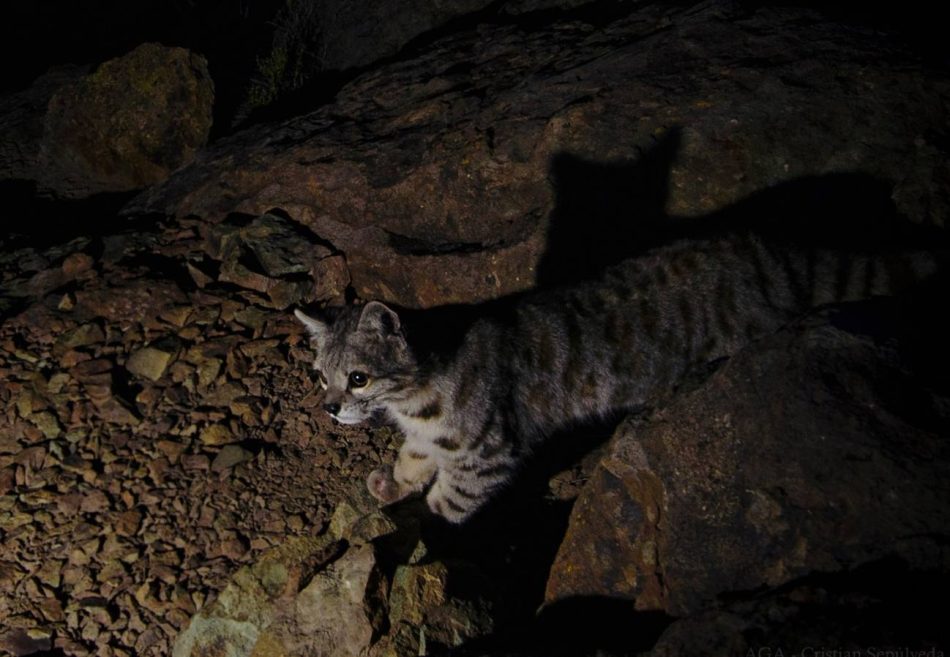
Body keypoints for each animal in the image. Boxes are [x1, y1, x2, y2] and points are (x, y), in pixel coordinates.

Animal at [298, 236, 936, 524]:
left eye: (359, 378)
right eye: (321, 375)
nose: (329, 408)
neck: (415, 398)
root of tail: (758, 254)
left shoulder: (488, 451)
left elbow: (452, 499)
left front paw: (424, 522)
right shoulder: (433, 439)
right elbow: (415, 460)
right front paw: (394, 483)